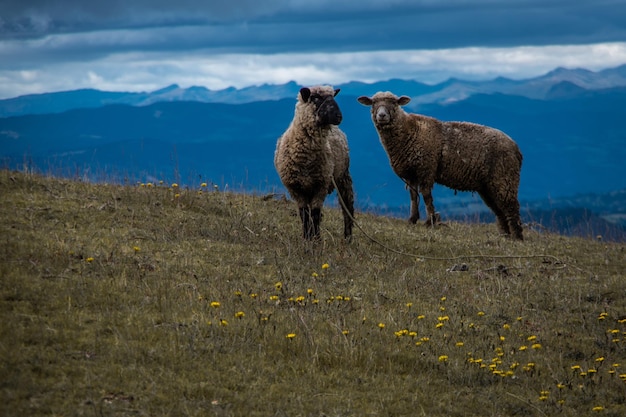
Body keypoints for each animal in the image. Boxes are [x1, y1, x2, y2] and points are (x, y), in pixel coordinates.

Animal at [274, 85, 354, 240]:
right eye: (316, 98)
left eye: (333, 96)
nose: (339, 116)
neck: (306, 158)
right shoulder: (296, 188)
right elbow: (305, 214)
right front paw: (307, 238)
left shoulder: (321, 185)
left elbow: (315, 214)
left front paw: (315, 239)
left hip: (342, 175)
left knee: (347, 205)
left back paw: (348, 237)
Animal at [356, 91, 520, 240]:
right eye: (373, 103)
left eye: (394, 102)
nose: (382, 116)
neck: (409, 131)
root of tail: (516, 148)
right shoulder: (411, 173)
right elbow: (413, 196)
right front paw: (412, 220)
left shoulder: (426, 169)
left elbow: (426, 196)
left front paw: (431, 222)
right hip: (487, 186)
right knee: (499, 210)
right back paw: (505, 236)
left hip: (504, 178)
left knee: (511, 208)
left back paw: (517, 238)